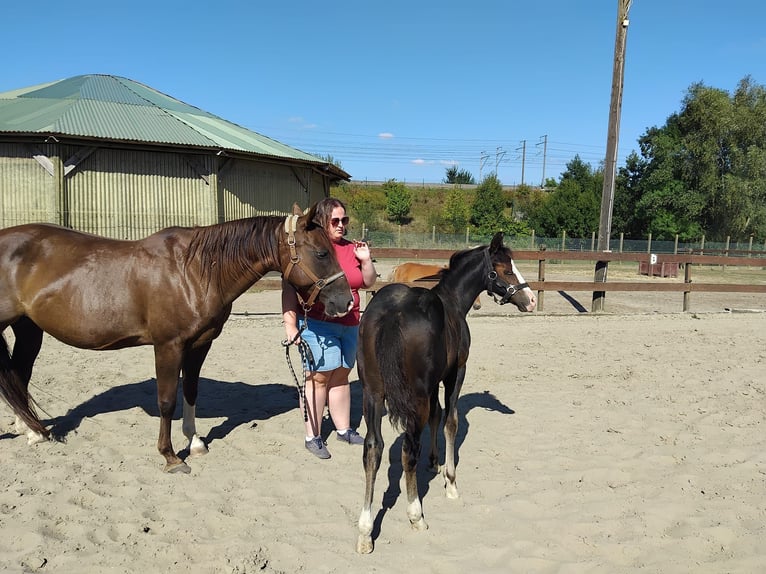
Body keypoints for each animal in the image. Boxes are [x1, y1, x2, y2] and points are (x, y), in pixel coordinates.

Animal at [0, 203, 353, 473]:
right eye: (322, 253)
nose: (346, 303)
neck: (194, 271)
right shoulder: (168, 346)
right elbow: (167, 400)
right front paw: (170, 457)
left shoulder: (200, 344)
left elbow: (191, 392)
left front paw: (195, 442)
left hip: (28, 328)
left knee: (19, 374)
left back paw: (32, 431)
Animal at [355, 232, 536, 554]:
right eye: (505, 269)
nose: (531, 300)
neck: (452, 302)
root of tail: (391, 313)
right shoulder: (455, 373)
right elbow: (450, 420)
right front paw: (450, 481)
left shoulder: (432, 383)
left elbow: (436, 416)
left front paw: (435, 461)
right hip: (413, 396)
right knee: (408, 450)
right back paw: (416, 515)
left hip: (373, 393)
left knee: (373, 449)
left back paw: (365, 531)